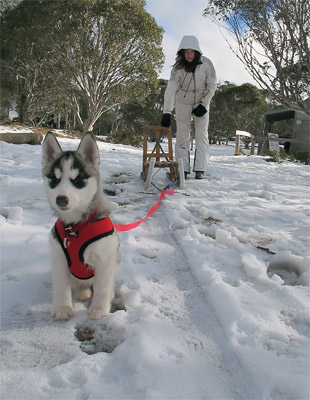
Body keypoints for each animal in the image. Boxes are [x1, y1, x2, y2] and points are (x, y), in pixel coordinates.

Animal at [43, 133, 120, 320]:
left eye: (77, 179)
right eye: (54, 179)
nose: (61, 200)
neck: (75, 227)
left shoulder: (105, 258)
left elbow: (102, 287)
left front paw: (99, 309)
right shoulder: (59, 257)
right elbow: (61, 286)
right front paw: (63, 308)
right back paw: (82, 292)